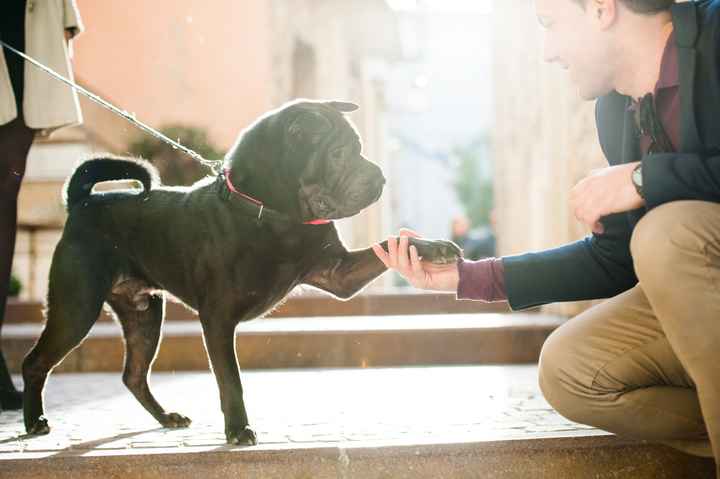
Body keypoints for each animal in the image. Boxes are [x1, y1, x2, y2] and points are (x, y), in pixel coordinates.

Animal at [23, 100, 462, 446]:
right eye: (339, 153)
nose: (379, 178)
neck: (275, 215)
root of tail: (81, 203)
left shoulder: (339, 273)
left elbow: (386, 246)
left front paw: (433, 249)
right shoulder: (217, 319)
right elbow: (230, 381)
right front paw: (238, 430)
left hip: (144, 314)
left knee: (133, 375)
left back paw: (166, 418)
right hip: (77, 307)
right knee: (35, 361)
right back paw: (34, 421)